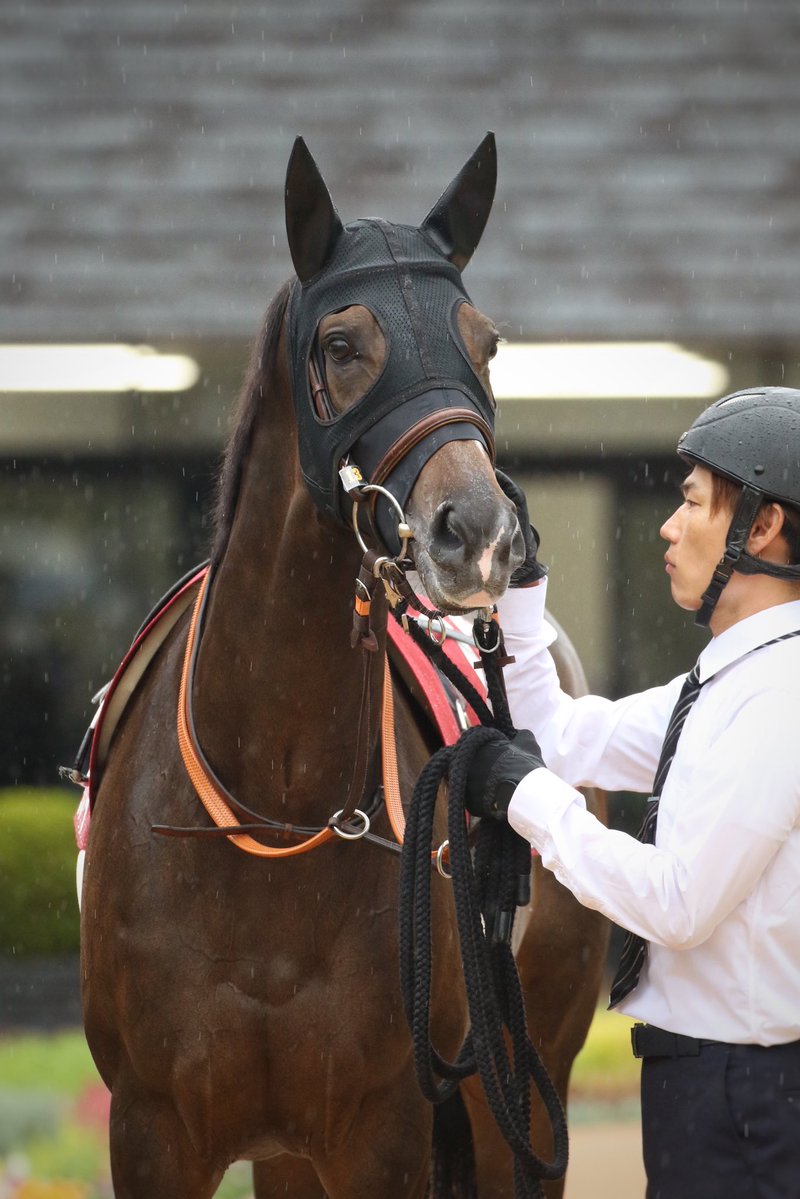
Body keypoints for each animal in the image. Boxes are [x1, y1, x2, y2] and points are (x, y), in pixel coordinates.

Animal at [79, 133, 609, 1198]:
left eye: (485, 342)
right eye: (341, 346)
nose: (478, 533)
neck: (271, 810)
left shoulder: (383, 1128)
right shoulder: (155, 1130)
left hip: (520, 1091)